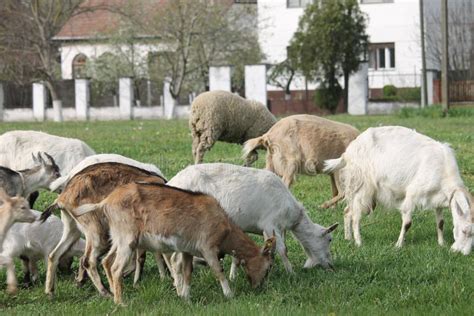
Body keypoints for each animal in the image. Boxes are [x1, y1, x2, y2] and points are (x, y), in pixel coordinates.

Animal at [40, 159, 167, 298]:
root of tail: (63, 198)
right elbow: (142, 257)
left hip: (72, 229)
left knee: (54, 255)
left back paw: (51, 291)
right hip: (98, 232)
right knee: (87, 260)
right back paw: (105, 292)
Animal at [74, 181, 278, 304]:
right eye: (268, 267)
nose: (258, 287)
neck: (225, 226)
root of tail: (105, 202)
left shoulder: (187, 249)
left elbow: (187, 272)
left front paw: (185, 298)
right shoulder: (208, 247)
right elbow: (218, 271)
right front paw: (230, 295)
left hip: (118, 238)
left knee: (107, 261)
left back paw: (112, 295)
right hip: (127, 239)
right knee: (116, 268)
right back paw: (122, 303)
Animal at [167, 164, 336, 276]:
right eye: (329, 239)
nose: (331, 265)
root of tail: (171, 182)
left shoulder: (273, 230)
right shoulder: (270, 223)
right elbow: (283, 250)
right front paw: (291, 274)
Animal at [324, 126, 472, 254]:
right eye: (464, 231)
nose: (463, 253)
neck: (444, 170)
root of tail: (348, 152)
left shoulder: (438, 199)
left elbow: (440, 223)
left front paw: (441, 244)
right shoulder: (413, 193)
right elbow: (407, 222)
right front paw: (398, 245)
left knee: (348, 211)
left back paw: (348, 238)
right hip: (362, 185)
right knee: (356, 216)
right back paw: (359, 243)